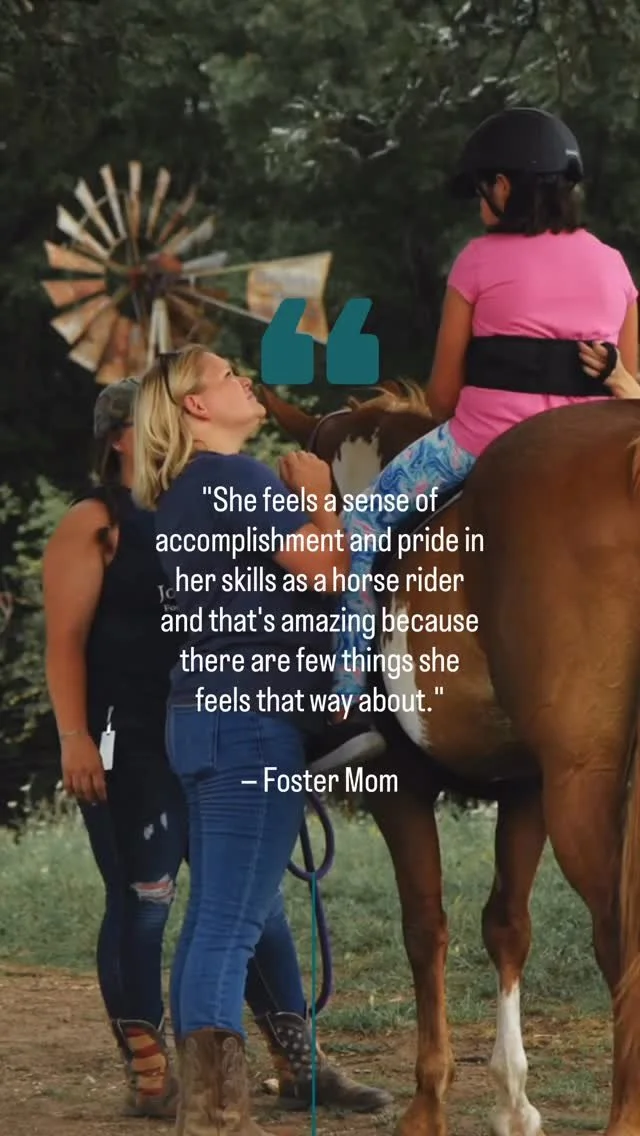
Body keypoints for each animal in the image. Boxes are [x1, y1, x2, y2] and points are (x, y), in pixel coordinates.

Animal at [258, 379, 640, 1136]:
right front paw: (513, 1101)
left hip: (585, 791)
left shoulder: (396, 782)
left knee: (617, 936)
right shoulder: (525, 789)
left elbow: (424, 926)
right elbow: (506, 925)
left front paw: (428, 1103)